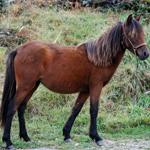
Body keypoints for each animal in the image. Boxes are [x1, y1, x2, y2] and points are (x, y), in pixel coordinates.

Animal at [0, 14, 149, 149]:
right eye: (133, 34)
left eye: (142, 33)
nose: (145, 54)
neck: (99, 57)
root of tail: (19, 50)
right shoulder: (96, 86)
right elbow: (94, 110)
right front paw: (97, 137)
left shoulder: (85, 90)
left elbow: (76, 109)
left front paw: (67, 135)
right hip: (25, 86)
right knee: (12, 107)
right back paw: (8, 142)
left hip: (32, 86)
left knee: (21, 108)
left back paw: (26, 137)